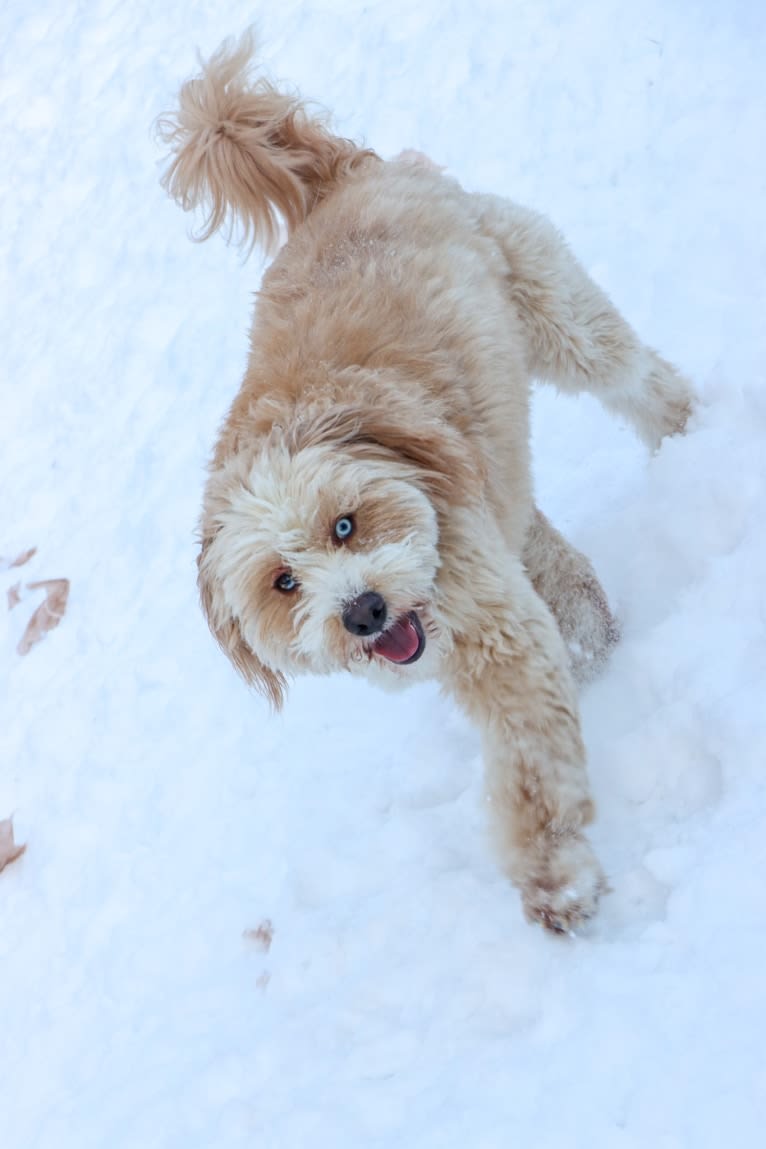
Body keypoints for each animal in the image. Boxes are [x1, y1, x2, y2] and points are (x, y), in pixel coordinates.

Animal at [157, 33, 693, 932]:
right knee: (544, 543)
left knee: (639, 379)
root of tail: (339, 177)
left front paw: (554, 875)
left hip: (559, 318)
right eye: (282, 580)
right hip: (499, 478)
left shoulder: (493, 634)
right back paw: (591, 628)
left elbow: (530, 765)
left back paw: (694, 438)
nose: (364, 612)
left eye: (345, 524)